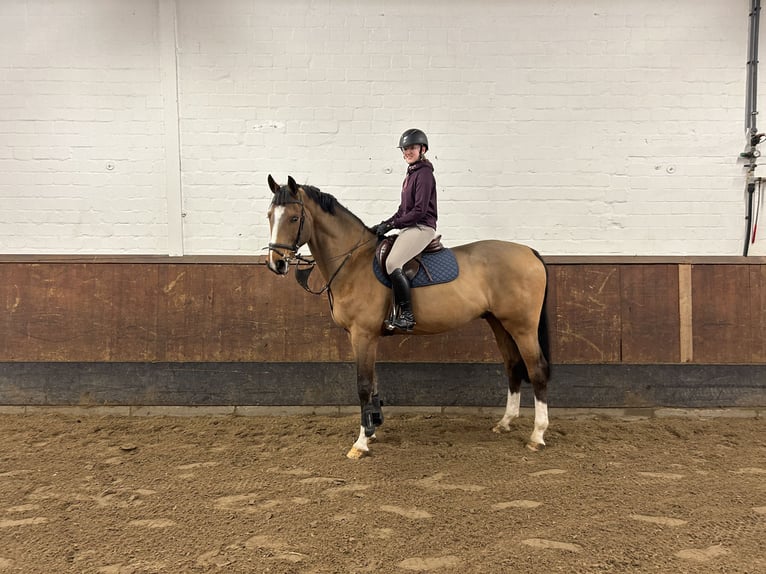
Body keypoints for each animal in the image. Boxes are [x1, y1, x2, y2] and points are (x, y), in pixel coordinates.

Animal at [266, 173, 552, 462]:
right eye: (269, 215)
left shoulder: (363, 334)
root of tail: (529, 251)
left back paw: (537, 436)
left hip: (522, 327)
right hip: (499, 324)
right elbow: (374, 383)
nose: (276, 263)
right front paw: (372, 429)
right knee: (512, 366)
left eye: (293, 218)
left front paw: (361, 443)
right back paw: (505, 423)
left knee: (536, 369)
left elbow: (363, 385)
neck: (353, 261)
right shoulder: (364, 337)